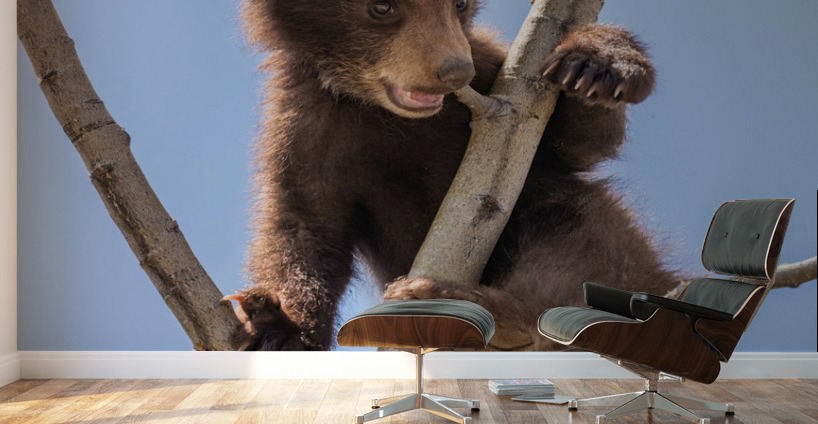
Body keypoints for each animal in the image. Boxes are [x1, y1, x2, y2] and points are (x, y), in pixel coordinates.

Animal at [229, 0, 679, 351]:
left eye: (460, 4)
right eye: (381, 7)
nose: (455, 72)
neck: (381, 111)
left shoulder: (494, 80)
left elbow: (576, 144)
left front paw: (598, 63)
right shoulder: (305, 125)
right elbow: (305, 228)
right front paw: (280, 329)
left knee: (582, 243)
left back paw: (484, 309)